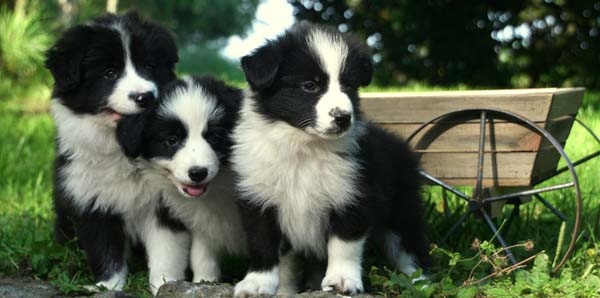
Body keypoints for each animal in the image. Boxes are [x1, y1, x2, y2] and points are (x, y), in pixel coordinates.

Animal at [45, 12, 185, 294]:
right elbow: (105, 251)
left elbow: (167, 251)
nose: (144, 96)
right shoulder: (92, 201)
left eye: (149, 67)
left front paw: (165, 285)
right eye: (109, 73)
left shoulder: (165, 205)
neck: (122, 150)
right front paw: (108, 287)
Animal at [116, 75, 247, 282]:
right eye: (172, 140)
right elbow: (202, 256)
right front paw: (204, 282)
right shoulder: (204, 222)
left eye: (215, 137)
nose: (198, 173)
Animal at [231, 22, 432, 296]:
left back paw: (422, 283)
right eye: (310, 86)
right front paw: (257, 283)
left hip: (402, 210)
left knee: (410, 248)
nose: (343, 117)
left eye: (349, 86)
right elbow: (263, 245)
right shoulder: (258, 198)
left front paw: (342, 279)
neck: (305, 147)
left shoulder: (352, 194)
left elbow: (344, 244)